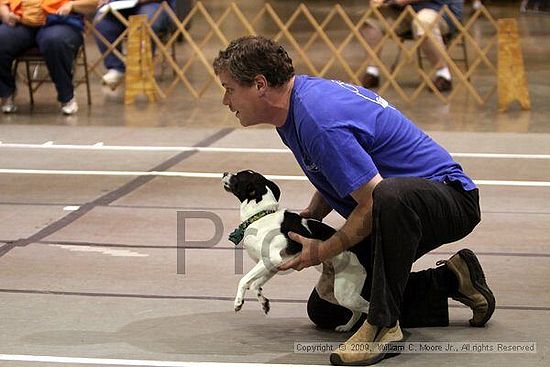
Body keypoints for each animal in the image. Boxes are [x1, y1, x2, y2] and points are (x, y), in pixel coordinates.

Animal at [223, 170, 370, 334]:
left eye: (237, 176)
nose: (224, 173)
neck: (261, 216)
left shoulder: (271, 259)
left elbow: (243, 281)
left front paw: (238, 302)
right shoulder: (272, 266)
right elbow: (255, 285)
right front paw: (264, 303)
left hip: (345, 294)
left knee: (368, 308)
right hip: (329, 291)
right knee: (356, 312)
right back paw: (347, 327)